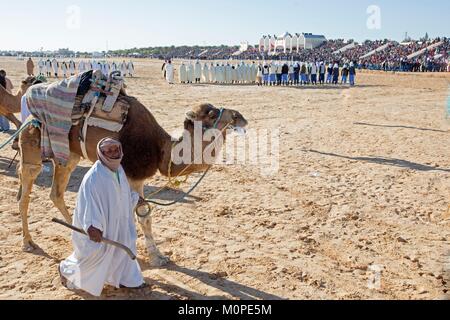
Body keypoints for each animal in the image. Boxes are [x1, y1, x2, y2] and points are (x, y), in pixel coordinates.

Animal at [17, 94, 248, 264]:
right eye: (211, 113)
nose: (239, 116)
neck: (161, 151)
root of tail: (27, 117)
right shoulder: (133, 176)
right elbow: (144, 216)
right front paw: (157, 258)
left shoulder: (136, 179)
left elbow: (142, 215)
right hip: (33, 145)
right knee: (26, 190)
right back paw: (28, 242)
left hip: (69, 155)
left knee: (56, 192)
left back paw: (79, 234)